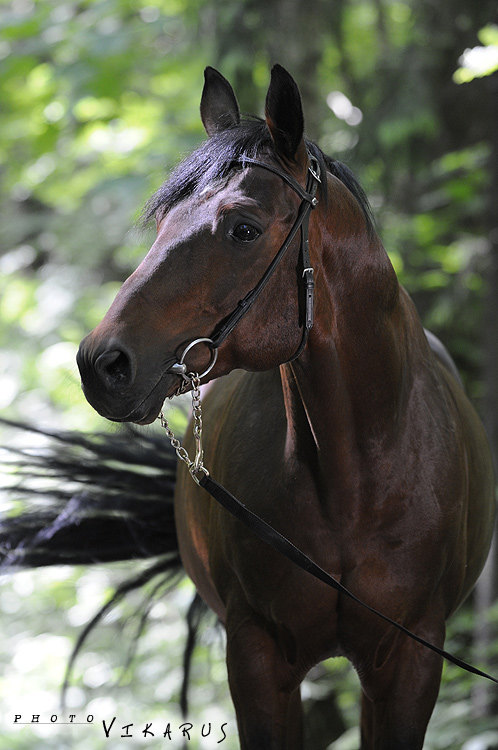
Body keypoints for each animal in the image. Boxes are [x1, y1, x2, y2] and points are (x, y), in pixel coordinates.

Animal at [76, 66, 496, 750]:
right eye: (162, 222)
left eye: (244, 228)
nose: (101, 364)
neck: (356, 482)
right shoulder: (257, 657)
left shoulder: (411, 662)